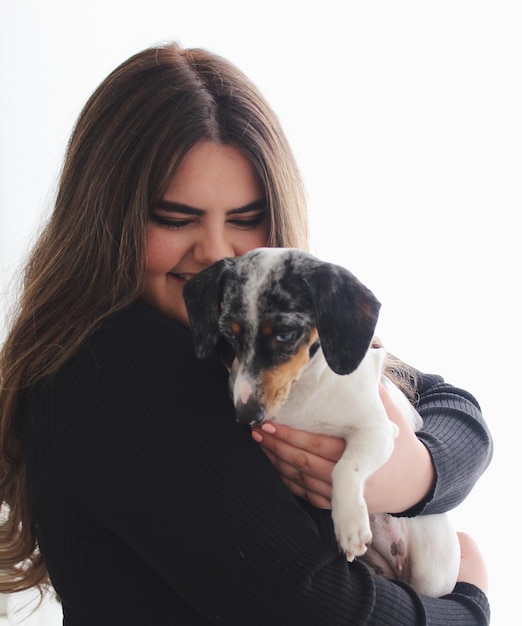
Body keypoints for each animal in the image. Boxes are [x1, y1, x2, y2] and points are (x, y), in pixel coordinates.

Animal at [183, 246, 460, 592]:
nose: (246, 416)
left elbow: (344, 468)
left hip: (429, 573)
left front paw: (350, 525)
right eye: (228, 336)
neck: (302, 392)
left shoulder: (379, 430)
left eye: (285, 335)